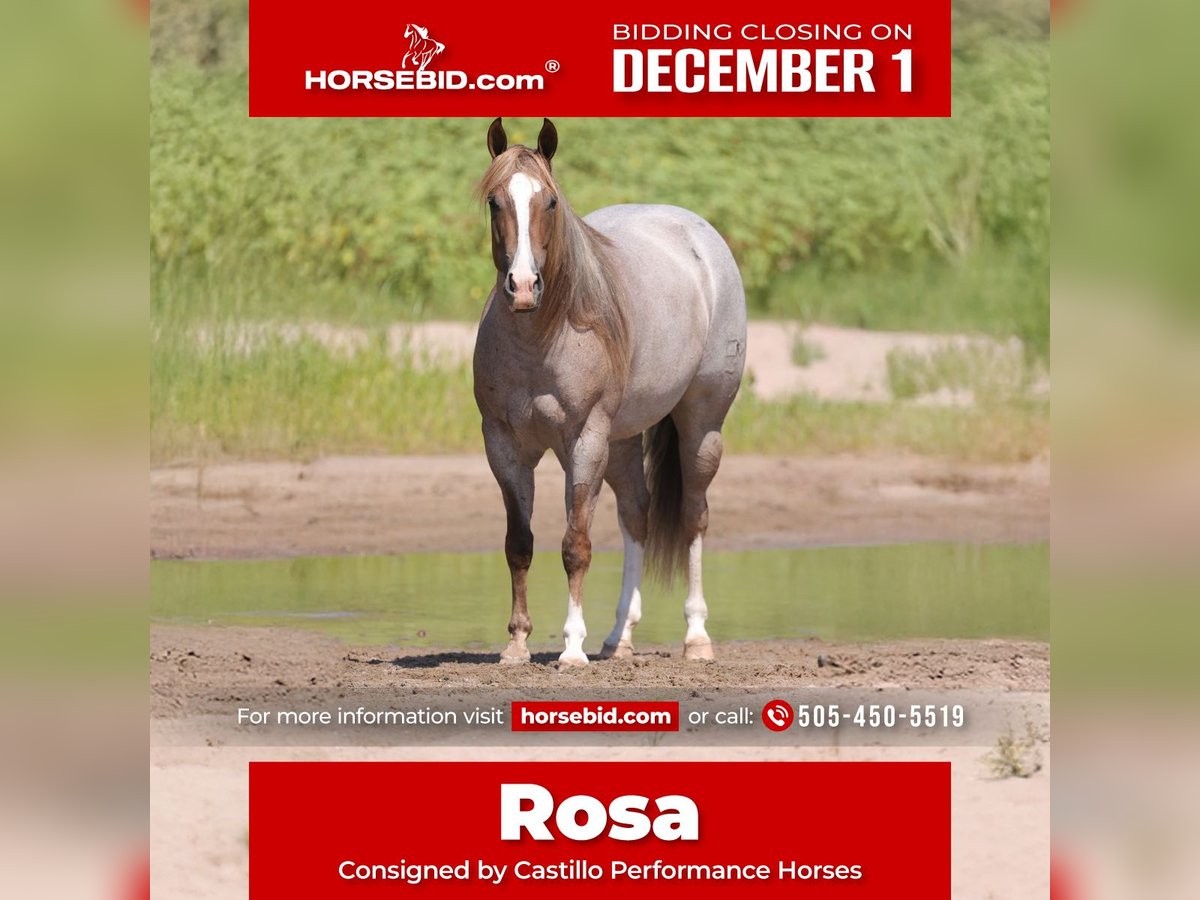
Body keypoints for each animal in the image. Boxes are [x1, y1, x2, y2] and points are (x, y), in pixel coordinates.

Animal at [473, 118, 746, 668]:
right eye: (495, 201)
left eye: (550, 202)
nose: (523, 286)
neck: (542, 339)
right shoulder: (504, 444)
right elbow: (519, 542)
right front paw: (516, 644)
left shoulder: (585, 441)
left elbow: (575, 544)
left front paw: (572, 647)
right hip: (621, 440)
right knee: (636, 516)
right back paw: (619, 638)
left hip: (701, 425)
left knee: (694, 517)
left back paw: (696, 638)